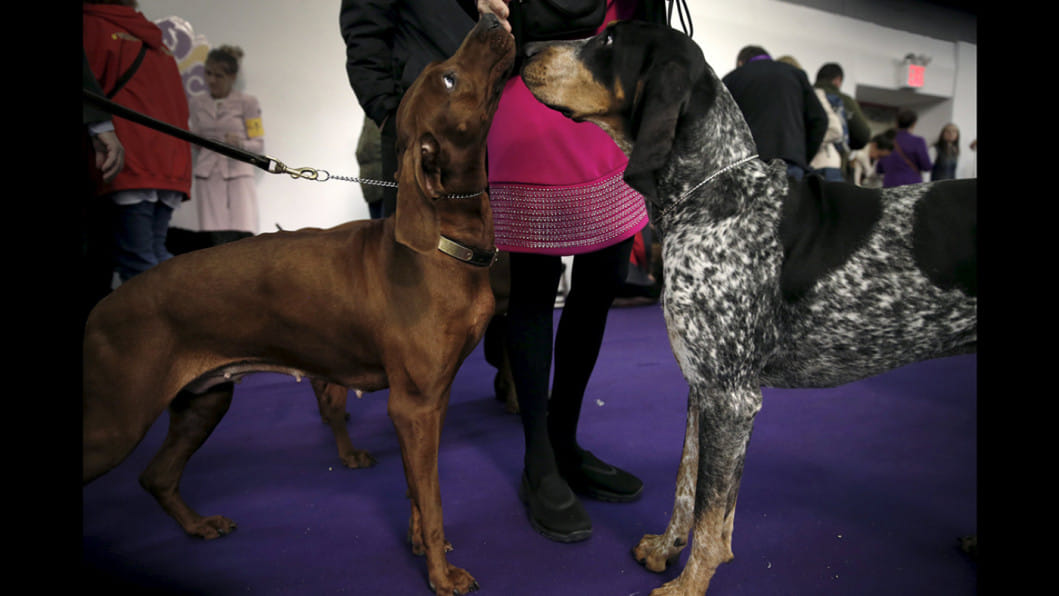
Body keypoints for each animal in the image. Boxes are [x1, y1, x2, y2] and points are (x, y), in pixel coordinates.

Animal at [83, 15, 514, 595]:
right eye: (447, 78)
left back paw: (199, 526)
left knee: (157, 476)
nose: (491, 17)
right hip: (115, 423)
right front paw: (442, 577)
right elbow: (434, 498)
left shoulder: (428, 404)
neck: (445, 243)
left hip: (205, 400)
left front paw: (422, 546)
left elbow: (416, 492)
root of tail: (100, 307)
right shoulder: (415, 405)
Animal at [521, 21, 976, 595]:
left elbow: (710, 514)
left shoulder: (731, 398)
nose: (524, 48)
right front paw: (667, 549)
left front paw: (688, 585)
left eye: (606, 42)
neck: (714, 194)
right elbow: (691, 488)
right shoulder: (705, 389)